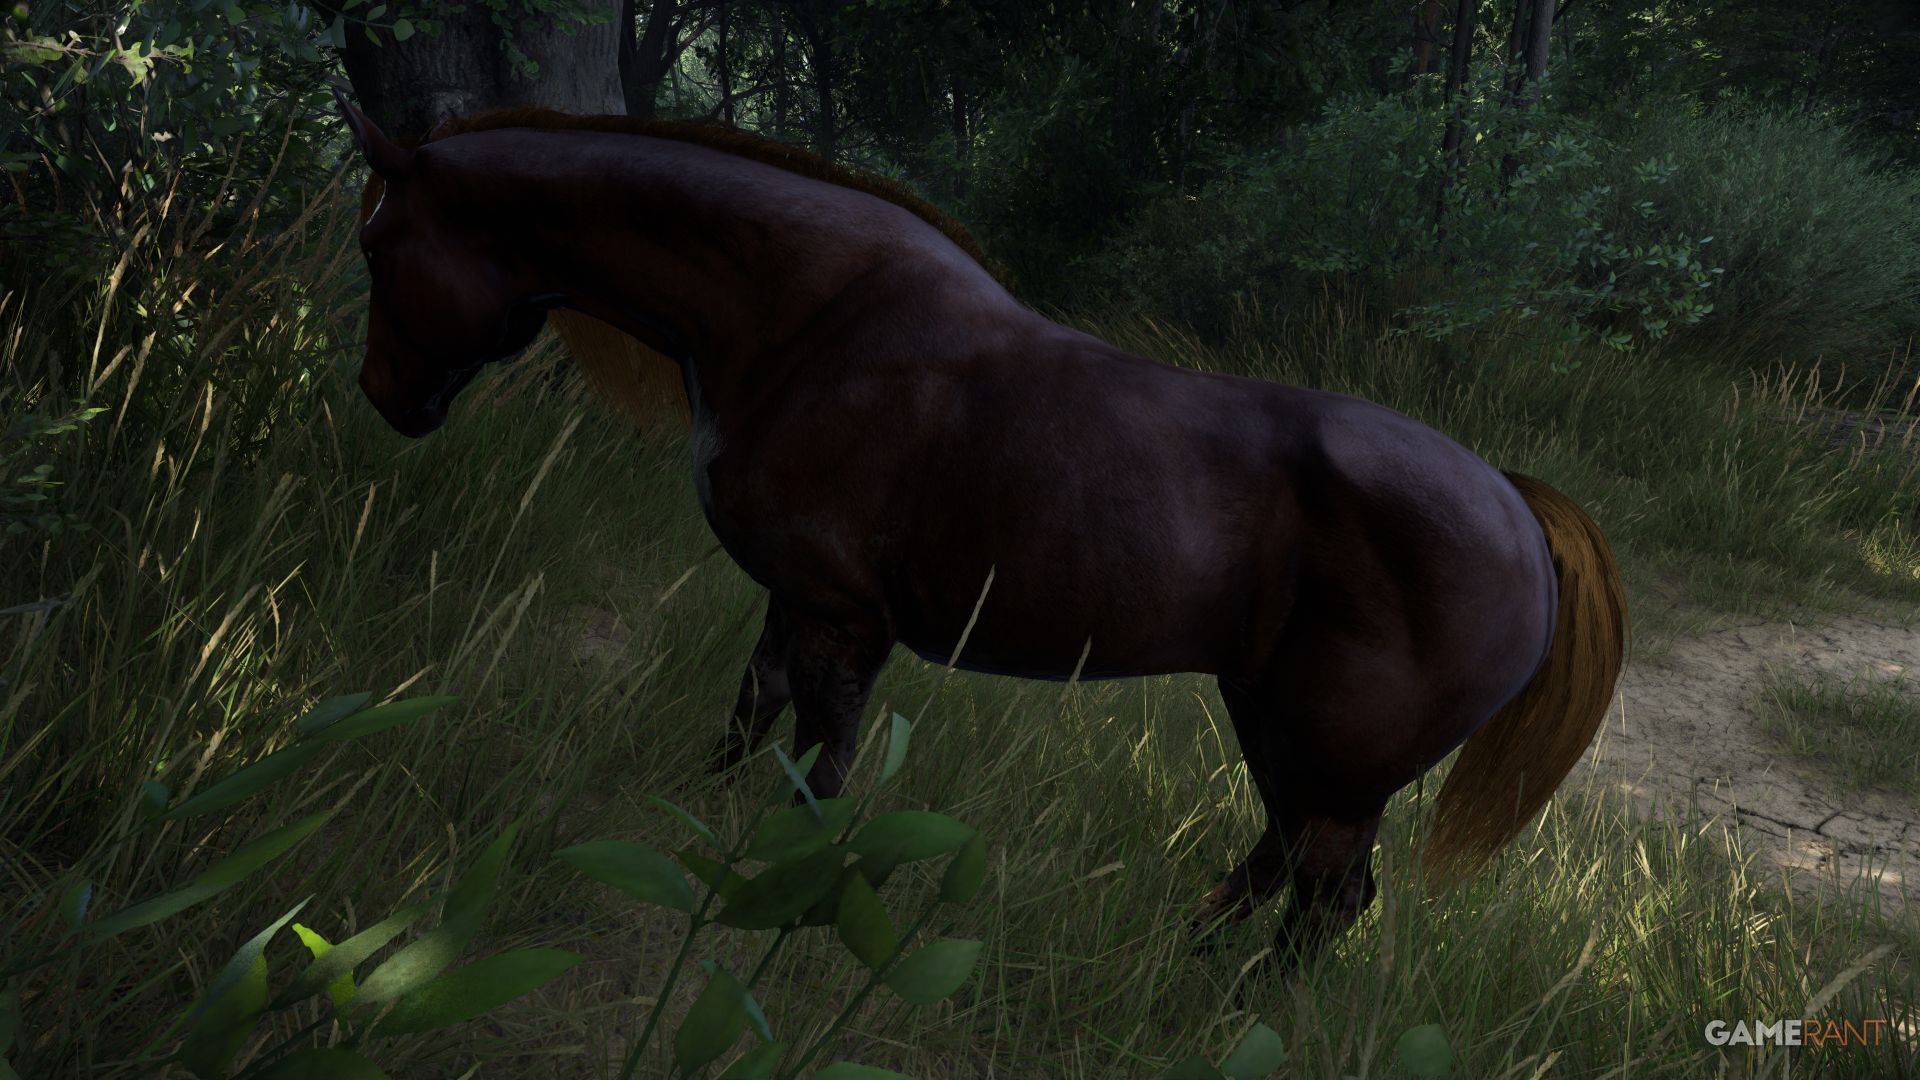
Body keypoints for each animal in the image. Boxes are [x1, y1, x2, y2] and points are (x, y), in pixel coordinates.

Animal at [332, 90, 1628, 968]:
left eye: (377, 243)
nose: (383, 396)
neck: (805, 319)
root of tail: (1519, 508)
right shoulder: (792, 597)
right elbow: (747, 720)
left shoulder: (841, 616)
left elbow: (818, 771)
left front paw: (783, 909)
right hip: (1280, 731)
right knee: (1284, 872)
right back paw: (1181, 965)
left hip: (1338, 763)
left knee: (1325, 901)